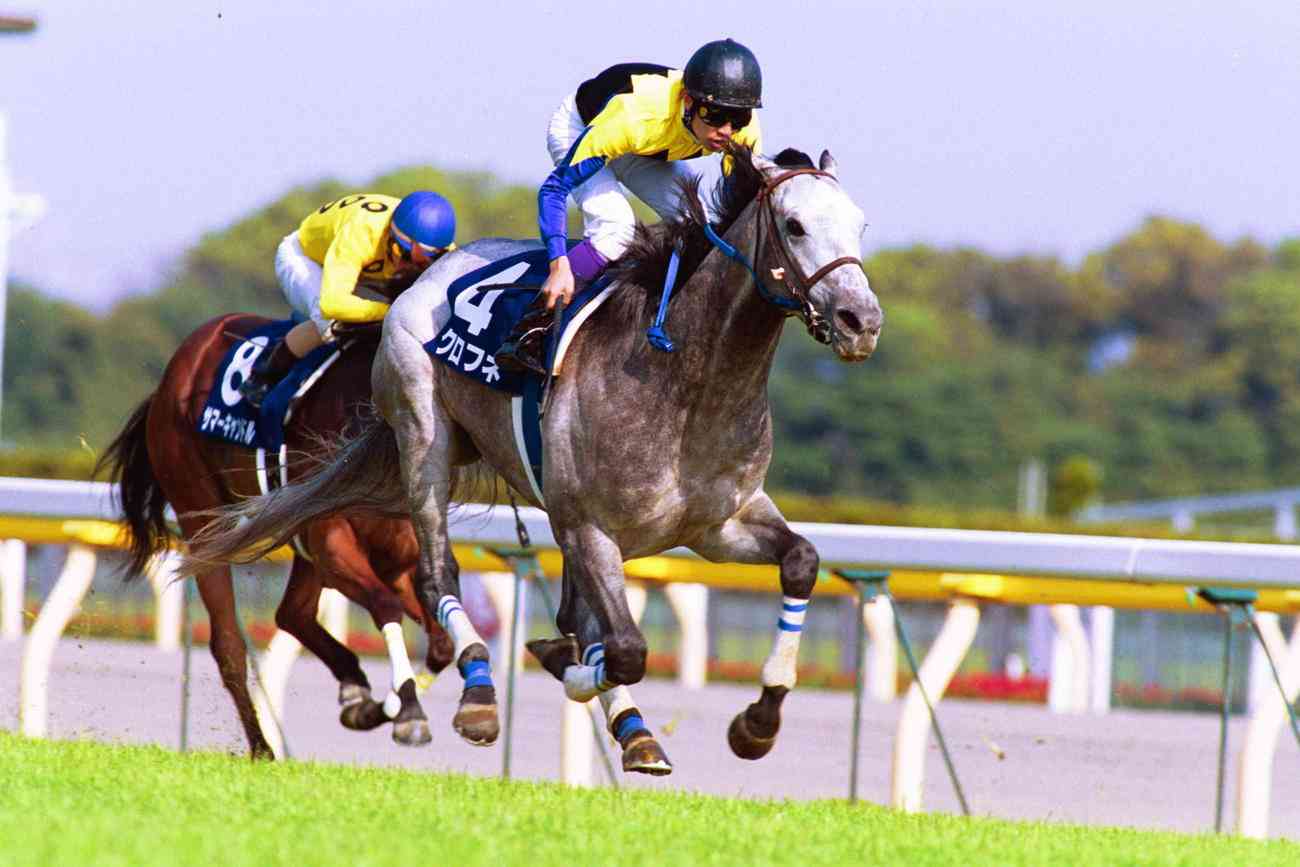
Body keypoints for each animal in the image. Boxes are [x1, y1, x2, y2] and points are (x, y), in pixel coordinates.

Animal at [96, 314, 461, 759]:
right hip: (202, 521)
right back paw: (262, 746)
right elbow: (385, 606)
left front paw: (381, 705)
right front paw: (407, 709)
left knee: (292, 614)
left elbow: (441, 642)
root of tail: (169, 379)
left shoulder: (397, 557)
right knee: (229, 645)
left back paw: (356, 694)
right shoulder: (332, 542)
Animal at [182, 146, 882, 774]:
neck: (688, 383)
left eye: (861, 224)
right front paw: (559, 665)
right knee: (439, 574)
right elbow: (622, 648)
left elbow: (801, 562)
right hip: (425, 438)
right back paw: (479, 695)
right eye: (793, 225)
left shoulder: (715, 524)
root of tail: (429, 275)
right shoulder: (590, 526)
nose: (862, 320)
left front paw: (757, 722)